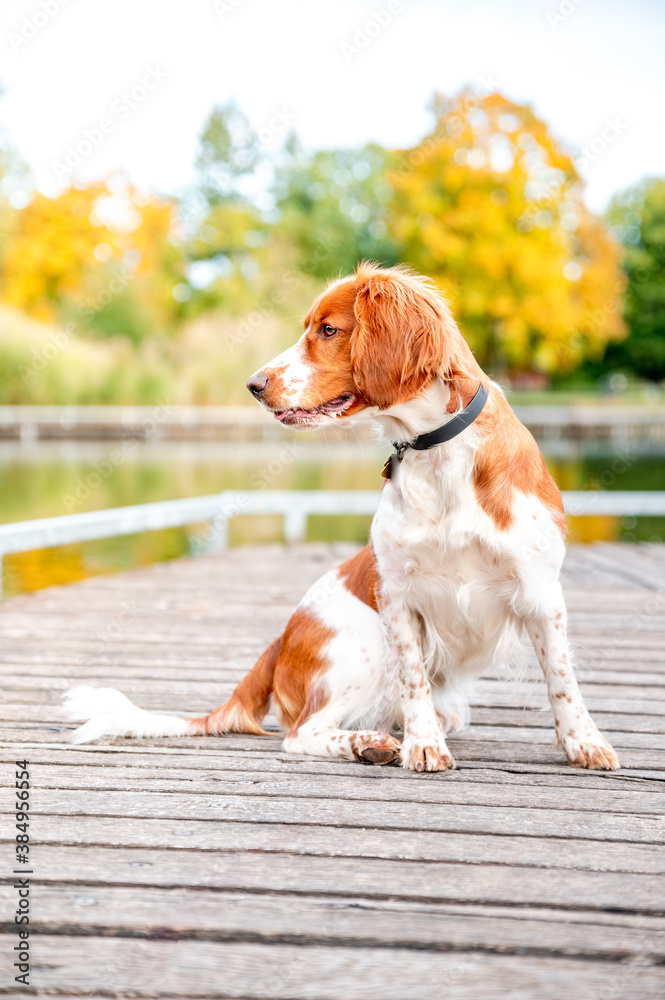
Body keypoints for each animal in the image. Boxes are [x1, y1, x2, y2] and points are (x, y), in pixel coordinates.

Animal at [65, 262, 620, 768]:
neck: (437, 452)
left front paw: (583, 742)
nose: (253, 384)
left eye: (328, 330)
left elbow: (562, 678)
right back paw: (369, 743)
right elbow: (413, 679)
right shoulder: (397, 595)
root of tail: (280, 642)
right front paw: (422, 746)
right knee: (302, 733)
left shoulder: (541, 590)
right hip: (362, 643)